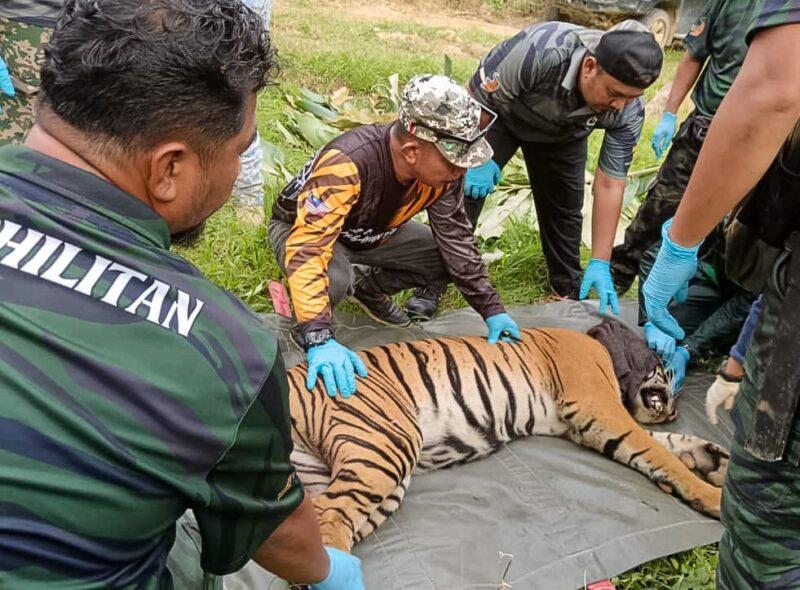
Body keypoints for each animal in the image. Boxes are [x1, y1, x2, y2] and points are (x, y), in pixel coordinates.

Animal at [284, 328, 728, 556]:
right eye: (667, 372)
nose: (674, 407)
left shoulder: (583, 424)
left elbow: (666, 444)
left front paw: (714, 458)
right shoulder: (596, 405)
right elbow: (658, 451)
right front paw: (715, 498)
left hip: (363, 476)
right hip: (386, 446)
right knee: (330, 517)